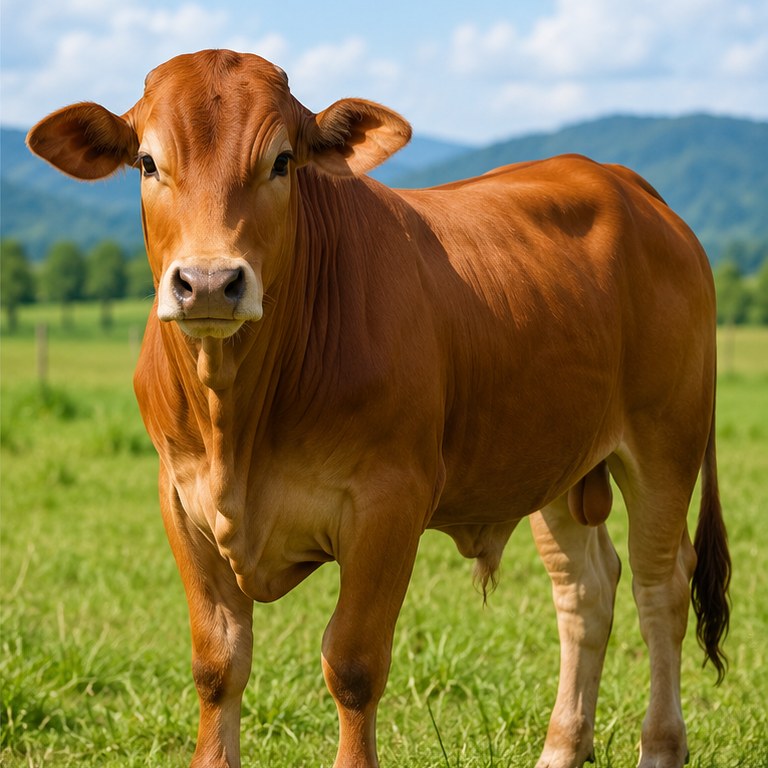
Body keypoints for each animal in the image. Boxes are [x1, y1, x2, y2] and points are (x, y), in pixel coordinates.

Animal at [27, 49, 730, 768]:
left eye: (282, 161)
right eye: (147, 162)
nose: (210, 283)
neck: (236, 423)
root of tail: (622, 181)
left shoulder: (389, 504)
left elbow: (354, 665)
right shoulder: (180, 501)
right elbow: (217, 664)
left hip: (665, 444)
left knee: (661, 587)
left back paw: (660, 746)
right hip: (558, 462)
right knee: (587, 589)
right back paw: (561, 747)